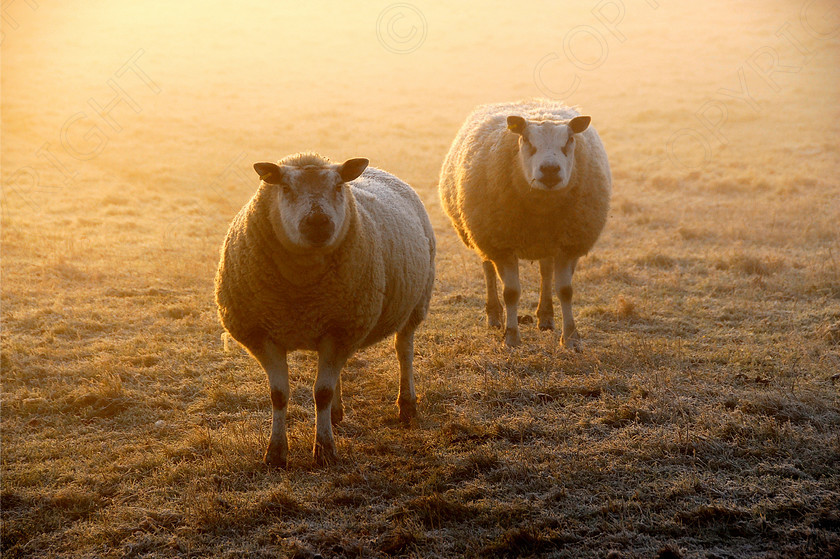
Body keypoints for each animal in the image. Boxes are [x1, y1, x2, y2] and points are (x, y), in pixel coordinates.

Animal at [213, 153, 436, 468]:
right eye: (286, 188)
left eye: (338, 186)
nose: (318, 223)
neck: (302, 290)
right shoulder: (265, 335)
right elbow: (279, 395)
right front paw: (276, 453)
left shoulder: (340, 329)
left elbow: (322, 393)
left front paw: (325, 450)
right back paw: (337, 413)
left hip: (414, 304)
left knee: (403, 351)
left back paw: (406, 406)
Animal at [440, 98, 612, 348]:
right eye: (527, 140)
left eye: (569, 140)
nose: (550, 170)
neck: (542, 206)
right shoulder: (501, 244)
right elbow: (511, 292)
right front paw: (511, 337)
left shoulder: (570, 244)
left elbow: (565, 290)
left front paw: (570, 337)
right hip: (482, 233)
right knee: (487, 268)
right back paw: (494, 316)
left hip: (546, 241)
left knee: (545, 271)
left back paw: (546, 317)